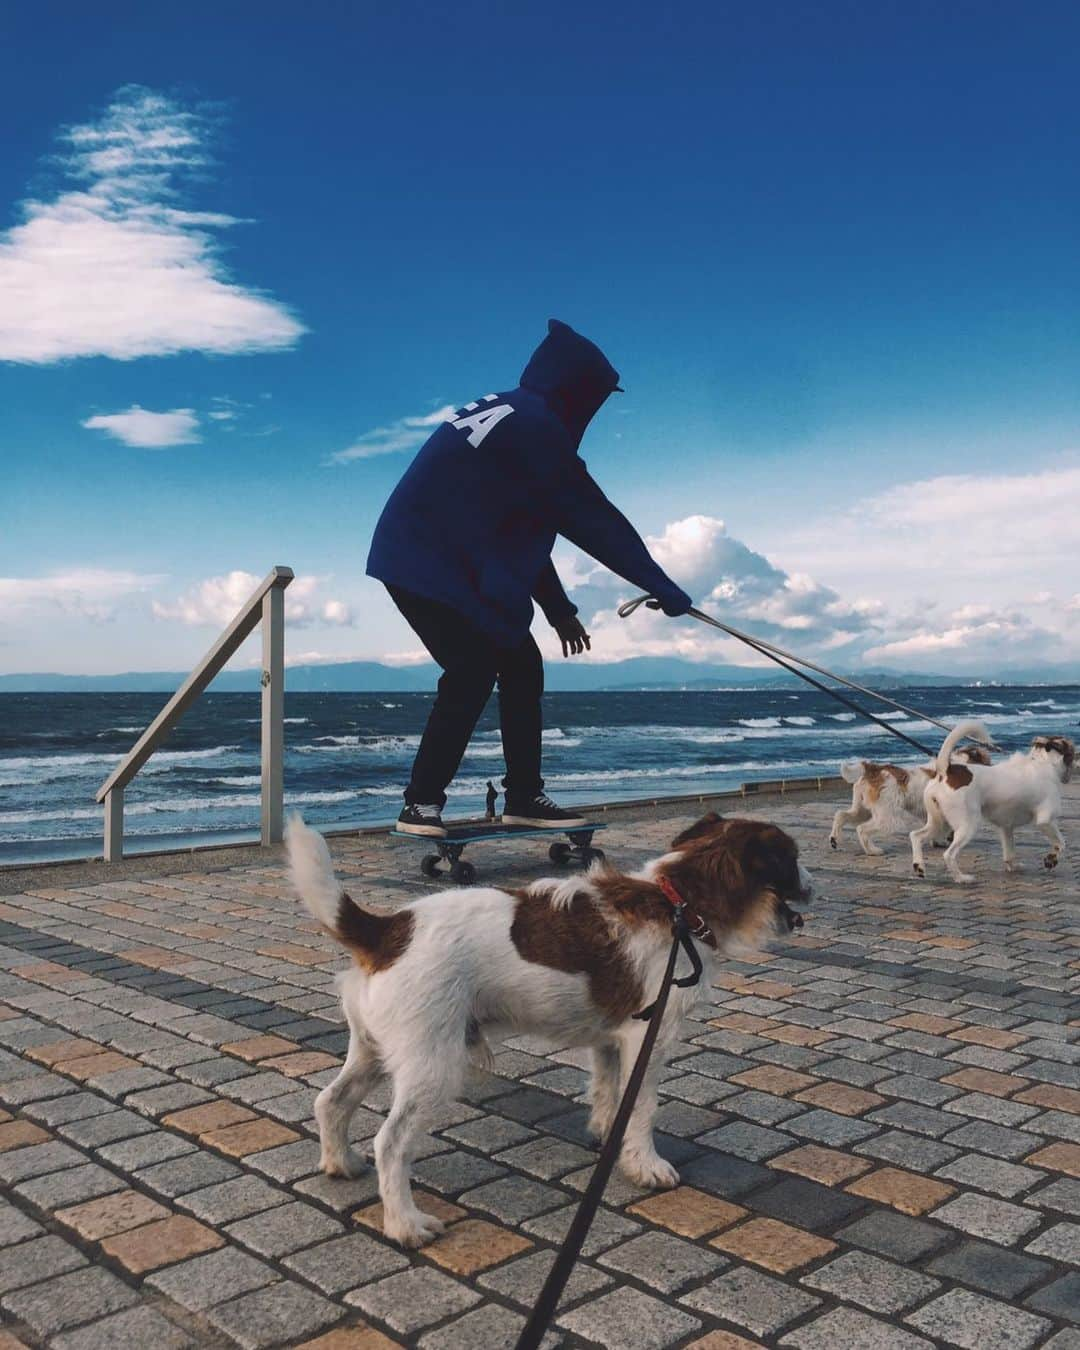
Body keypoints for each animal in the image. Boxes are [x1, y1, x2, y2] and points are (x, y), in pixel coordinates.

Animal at [286, 810, 810, 1242]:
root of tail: (388, 928)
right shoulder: (648, 1039)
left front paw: (610, 1139)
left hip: (376, 1049)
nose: (813, 882)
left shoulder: (611, 1041)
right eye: (793, 859)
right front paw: (646, 1165)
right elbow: (642, 1108)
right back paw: (404, 1224)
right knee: (390, 1144)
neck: (676, 903)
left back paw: (340, 1162)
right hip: (433, 1065)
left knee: (331, 1101)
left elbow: (609, 1094)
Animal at [831, 739, 993, 853]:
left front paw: (937, 842)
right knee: (862, 829)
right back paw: (873, 851)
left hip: (862, 809)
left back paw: (834, 839)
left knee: (841, 815)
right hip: (887, 816)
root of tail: (874, 769)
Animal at [912, 718, 1069, 885]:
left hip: (939, 823)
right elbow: (1061, 844)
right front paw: (1051, 860)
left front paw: (1013, 867)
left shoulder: (1006, 827)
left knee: (916, 836)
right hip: (967, 825)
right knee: (949, 854)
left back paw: (919, 866)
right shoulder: (1045, 821)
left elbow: (1009, 853)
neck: (1042, 763)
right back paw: (961, 878)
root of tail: (946, 770)